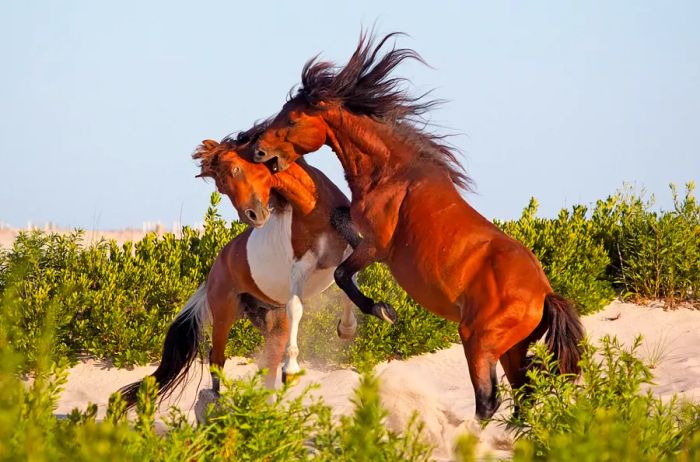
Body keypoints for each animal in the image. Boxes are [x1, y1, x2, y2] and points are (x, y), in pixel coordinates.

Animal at [120, 128, 394, 406]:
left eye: (237, 169)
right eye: (221, 187)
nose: (253, 216)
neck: (314, 211)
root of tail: (213, 273)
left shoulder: (347, 253)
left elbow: (346, 284)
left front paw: (354, 325)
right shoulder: (300, 269)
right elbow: (298, 306)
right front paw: (291, 371)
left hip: (270, 321)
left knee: (267, 365)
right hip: (225, 313)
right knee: (217, 358)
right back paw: (218, 400)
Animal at [252, 33, 584, 422]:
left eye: (292, 119)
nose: (258, 151)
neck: (393, 172)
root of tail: (545, 294)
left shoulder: (378, 246)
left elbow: (342, 274)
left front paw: (379, 313)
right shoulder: (360, 230)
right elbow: (339, 228)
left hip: (478, 340)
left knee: (488, 401)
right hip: (511, 349)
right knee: (522, 395)